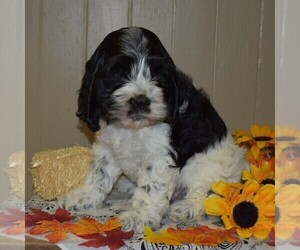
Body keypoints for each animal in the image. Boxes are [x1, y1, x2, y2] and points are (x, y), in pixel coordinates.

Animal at [57, 26, 247, 231]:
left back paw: (187, 207)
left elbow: (151, 187)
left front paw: (139, 216)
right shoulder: (107, 147)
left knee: (206, 191)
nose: (140, 100)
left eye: (156, 74)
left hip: (208, 163)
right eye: (119, 72)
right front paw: (83, 196)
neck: (133, 127)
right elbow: (99, 173)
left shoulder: (159, 156)